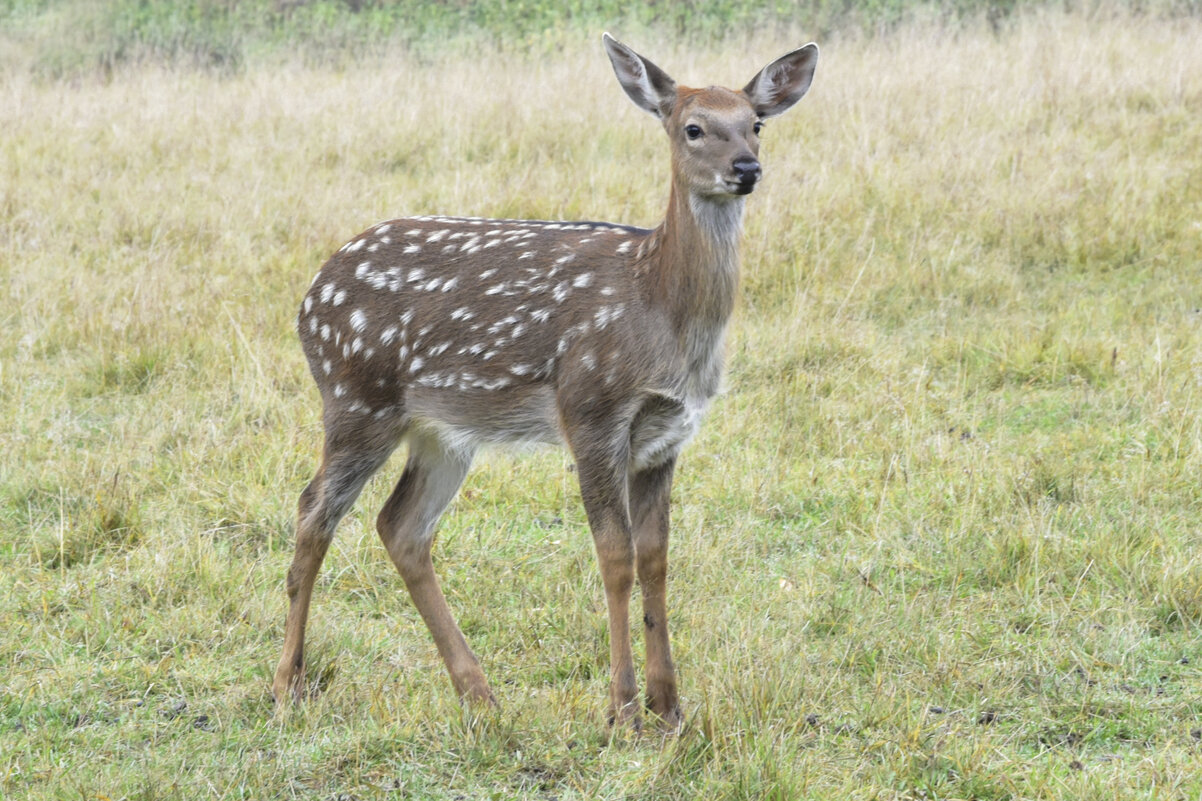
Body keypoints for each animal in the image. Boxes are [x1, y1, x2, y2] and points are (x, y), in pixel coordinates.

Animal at [272, 32, 817, 731]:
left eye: (756, 124)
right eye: (693, 127)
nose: (747, 169)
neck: (658, 307)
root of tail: (309, 298)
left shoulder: (667, 434)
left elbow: (657, 558)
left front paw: (670, 707)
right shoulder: (590, 409)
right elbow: (615, 557)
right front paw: (623, 712)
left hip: (441, 431)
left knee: (401, 526)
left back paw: (479, 692)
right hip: (356, 397)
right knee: (314, 511)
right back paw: (287, 684)